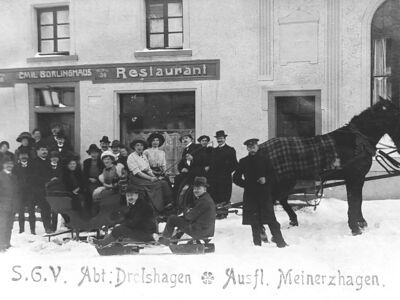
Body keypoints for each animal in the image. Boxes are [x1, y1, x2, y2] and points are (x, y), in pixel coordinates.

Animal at [260, 98, 400, 234]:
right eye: (396, 116)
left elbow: (358, 201)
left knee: (280, 199)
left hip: (287, 181)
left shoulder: (359, 178)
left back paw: (292, 221)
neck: (357, 141)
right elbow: (353, 202)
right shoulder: (353, 178)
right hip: (281, 182)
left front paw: (361, 223)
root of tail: (262, 149)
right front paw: (355, 228)